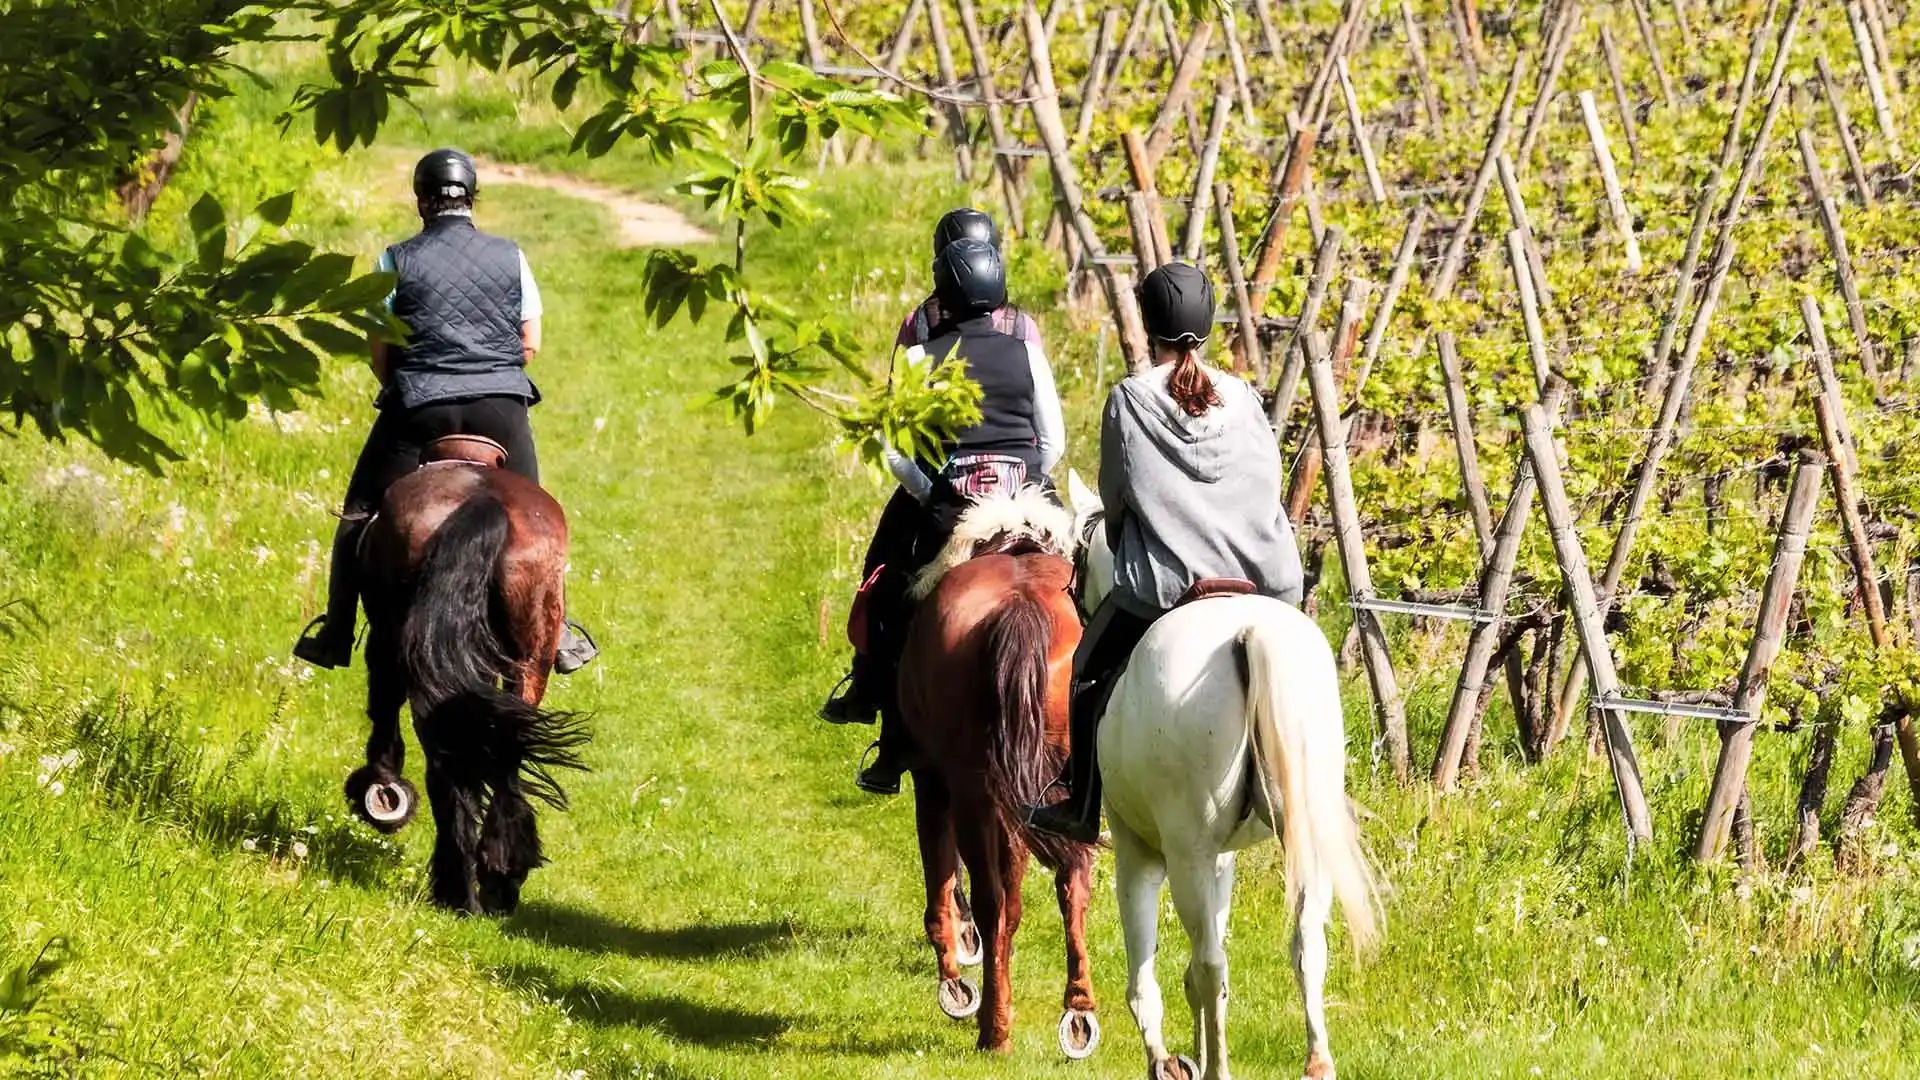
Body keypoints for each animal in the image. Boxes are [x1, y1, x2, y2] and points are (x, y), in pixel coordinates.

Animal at [341, 432, 587, 910]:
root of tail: (482, 501)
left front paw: (379, 792)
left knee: (450, 759)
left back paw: (461, 885)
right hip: (527, 662)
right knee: (501, 751)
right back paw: (496, 878)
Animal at [894, 488, 1105, 1053]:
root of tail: (1021, 609)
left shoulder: (933, 778)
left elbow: (944, 878)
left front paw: (954, 980)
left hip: (971, 788)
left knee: (990, 900)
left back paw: (993, 1027)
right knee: (1071, 884)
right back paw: (1078, 1013)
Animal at [1067, 470, 1382, 1076]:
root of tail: (1251, 631)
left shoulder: (1140, 852)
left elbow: (1148, 981)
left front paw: (1166, 1060)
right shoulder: (1223, 859)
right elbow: (1194, 972)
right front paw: (1192, 1049)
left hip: (1185, 854)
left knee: (1212, 961)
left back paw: (1218, 1068)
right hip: (1299, 836)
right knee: (1305, 942)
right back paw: (1316, 1061)